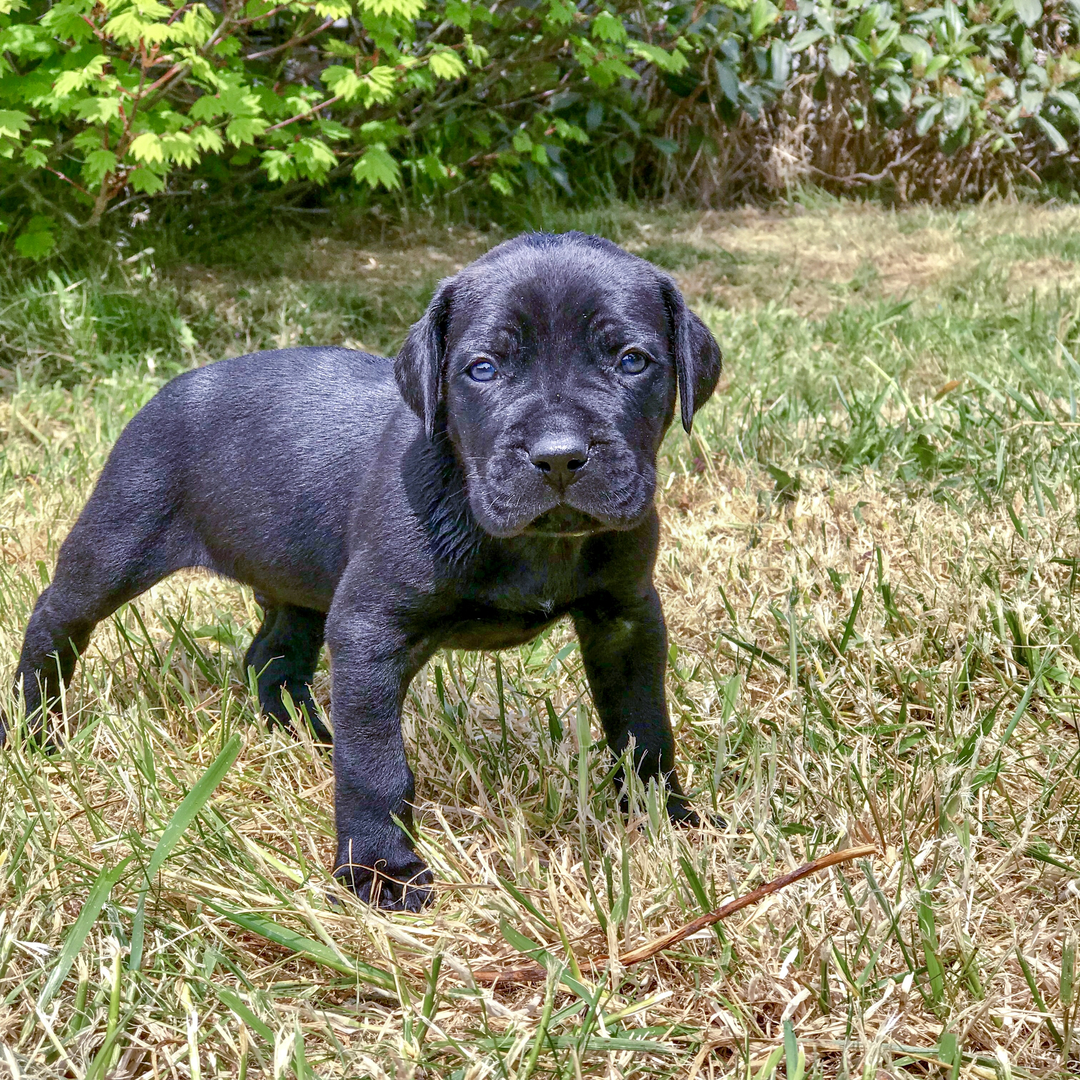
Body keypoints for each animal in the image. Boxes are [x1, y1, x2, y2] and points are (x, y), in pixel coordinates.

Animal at [8, 234, 721, 911]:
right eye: (483, 370)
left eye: (631, 360)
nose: (560, 457)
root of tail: (175, 386)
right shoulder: (371, 631)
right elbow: (377, 765)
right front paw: (379, 874)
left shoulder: (625, 619)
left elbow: (642, 723)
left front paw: (667, 817)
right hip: (117, 543)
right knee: (55, 620)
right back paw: (35, 730)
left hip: (300, 585)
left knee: (271, 659)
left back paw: (312, 737)